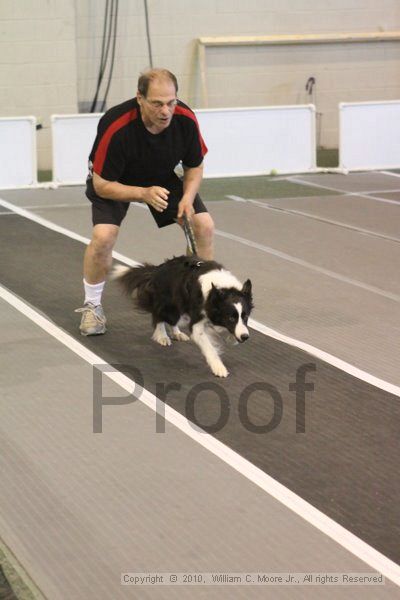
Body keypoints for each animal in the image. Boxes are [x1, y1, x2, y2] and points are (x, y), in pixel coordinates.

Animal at [111, 255, 253, 378]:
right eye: (231, 318)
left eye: (245, 317)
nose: (245, 337)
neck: (224, 289)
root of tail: (158, 269)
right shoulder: (197, 322)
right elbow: (209, 347)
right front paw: (219, 368)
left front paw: (233, 337)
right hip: (168, 303)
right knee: (159, 315)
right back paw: (162, 336)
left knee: (173, 320)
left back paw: (177, 333)